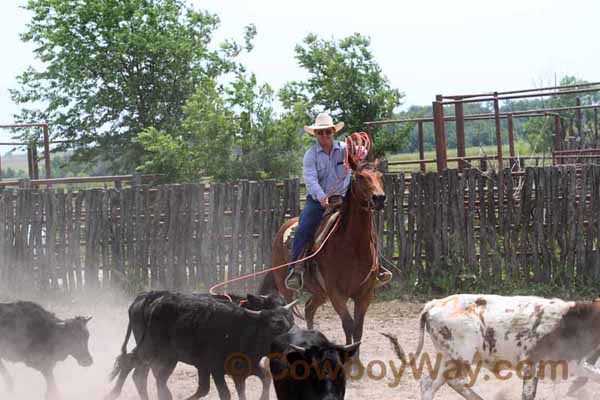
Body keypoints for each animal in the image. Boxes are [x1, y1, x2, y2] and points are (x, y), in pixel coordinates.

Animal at [106, 290, 298, 400]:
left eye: (291, 321)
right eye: (276, 326)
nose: (293, 346)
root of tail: (148, 299)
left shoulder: (244, 368)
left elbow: (263, 378)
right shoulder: (215, 368)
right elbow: (223, 393)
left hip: (165, 357)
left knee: (146, 374)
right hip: (150, 350)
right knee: (133, 366)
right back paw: (114, 393)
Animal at [258, 155, 384, 358]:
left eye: (380, 176)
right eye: (360, 176)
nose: (379, 198)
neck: (353, 245)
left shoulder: (365, 294)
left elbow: (358, 328)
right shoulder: (336, 293)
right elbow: (348, 324)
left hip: (319, 292)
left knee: (309, 309)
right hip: (288, 288)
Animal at [386, 294, 600, 400]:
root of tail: (433, 305)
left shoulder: (572, 363)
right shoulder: (532, 363)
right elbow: (528, 394)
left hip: (447, 357)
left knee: (429, 384)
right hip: (461, 356)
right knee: (453, 381)